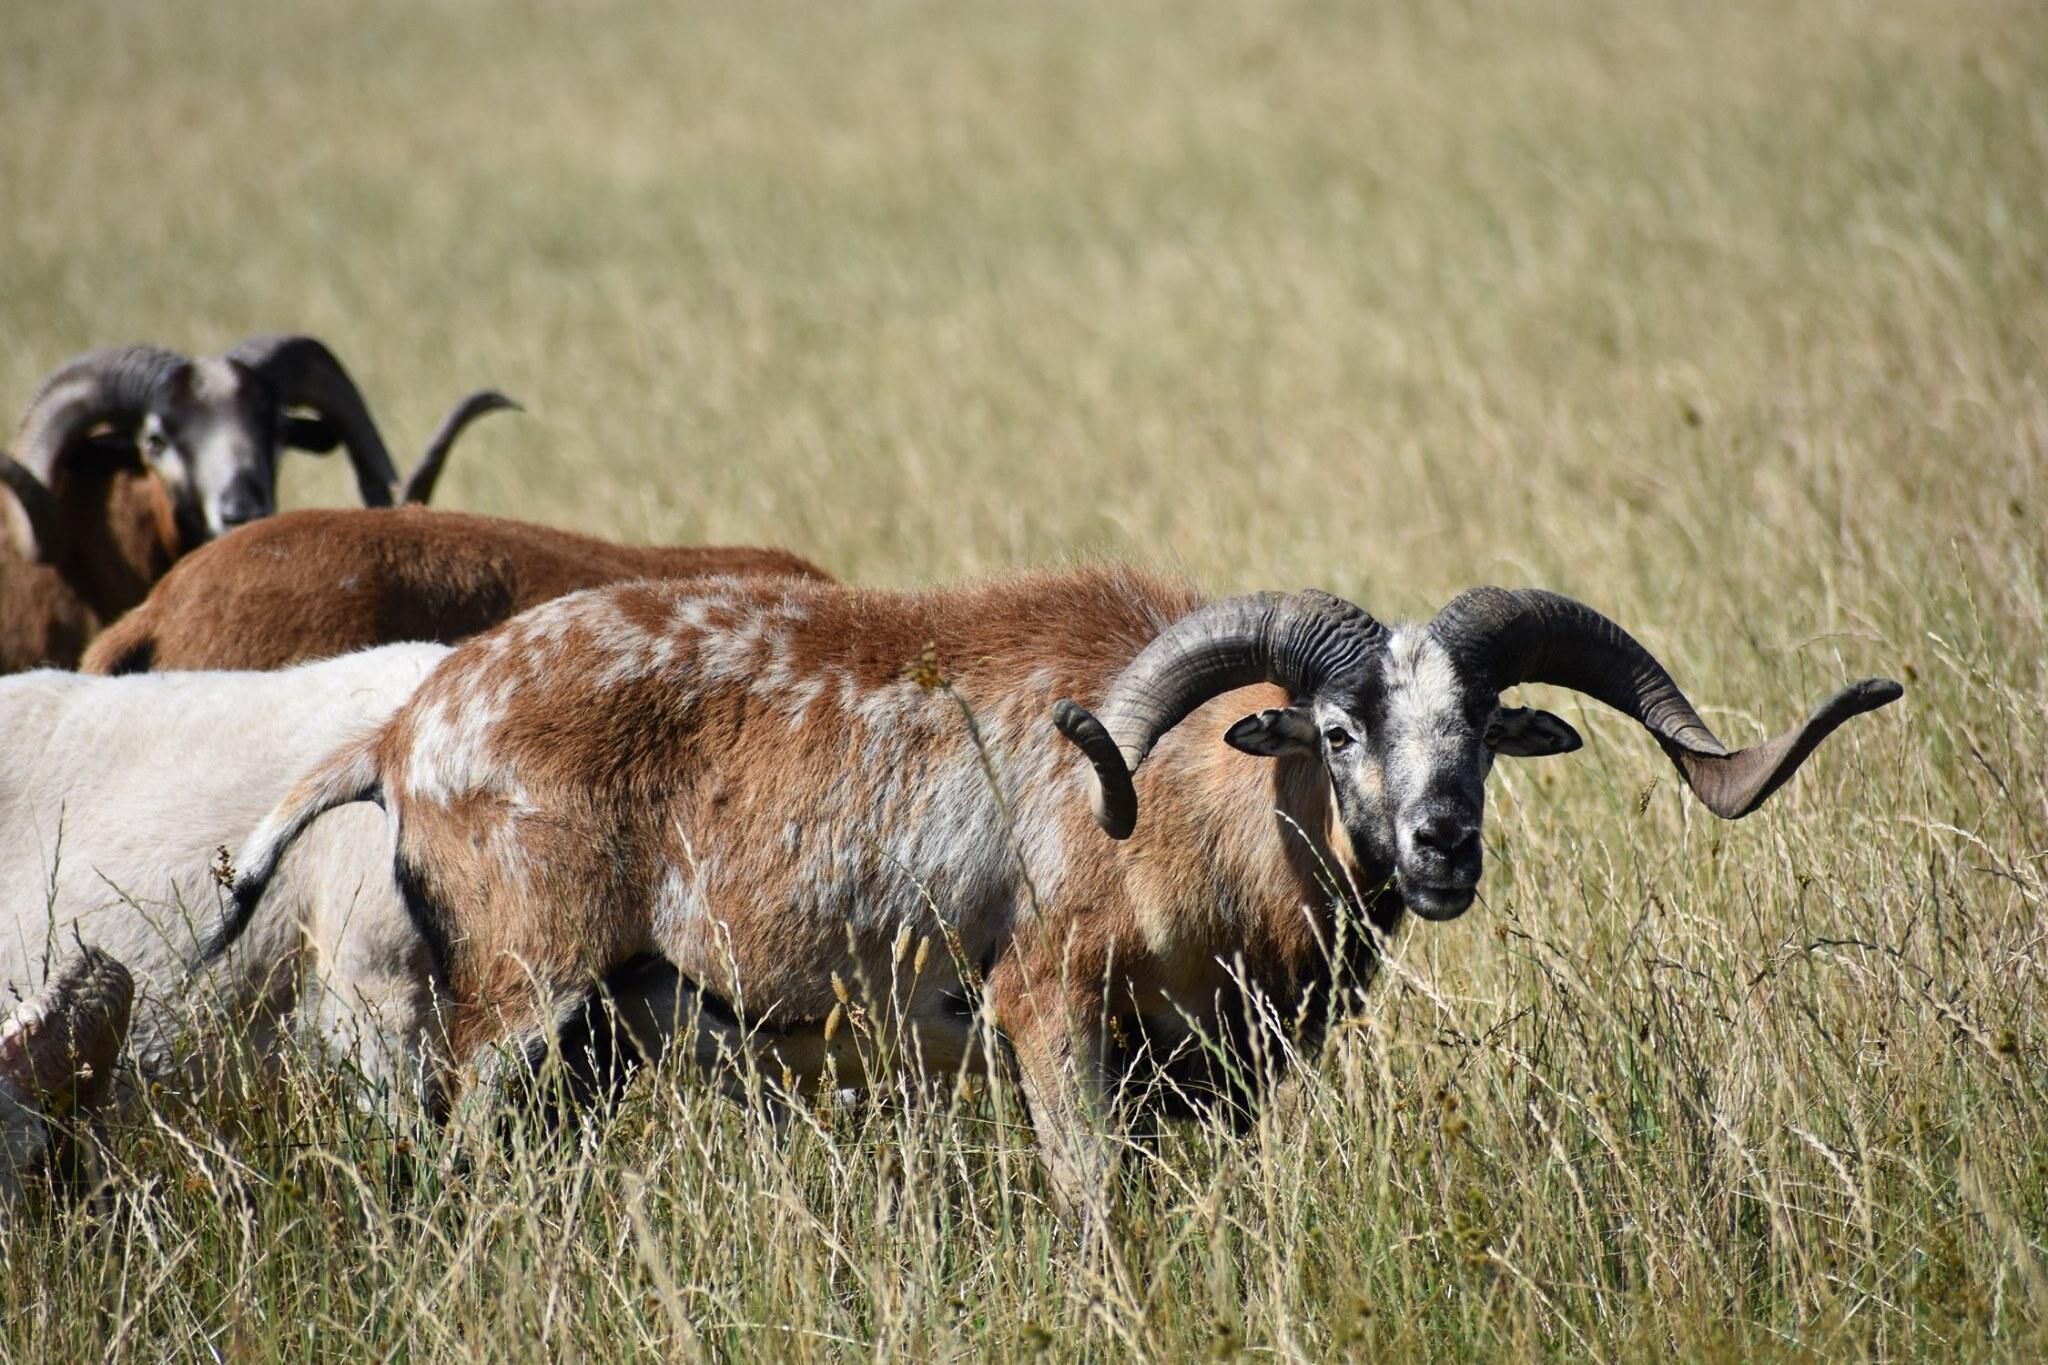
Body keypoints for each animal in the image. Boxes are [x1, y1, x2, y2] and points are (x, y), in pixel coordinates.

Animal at [214, 568, 1901, 1208]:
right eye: (1337, 729)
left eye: (1486, 727)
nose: (1439, 845)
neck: (1195, 820)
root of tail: (404, 732)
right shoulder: (1052, 1023)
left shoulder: (1205, 1078)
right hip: (517, 1009)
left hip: (595, 1041)